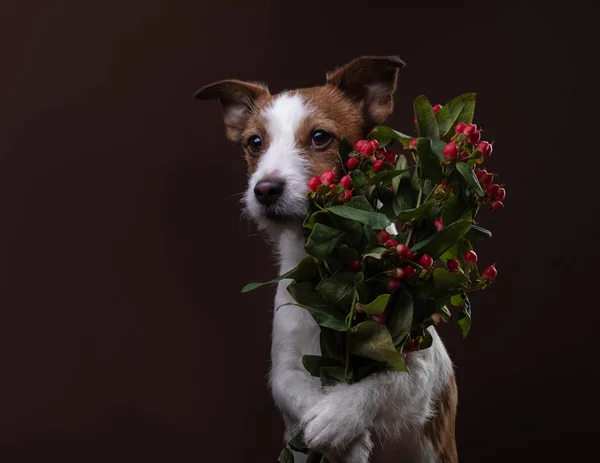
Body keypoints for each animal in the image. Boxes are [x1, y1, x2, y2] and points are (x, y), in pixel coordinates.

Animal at [195, 56, 458, 462]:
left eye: (320, 137)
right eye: (254, 143)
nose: (264, 189)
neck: (326, 273)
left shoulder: (418, 367)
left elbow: (386, 380)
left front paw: (340, 416)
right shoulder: (285, 366)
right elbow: (293, 390)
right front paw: (338, 433)